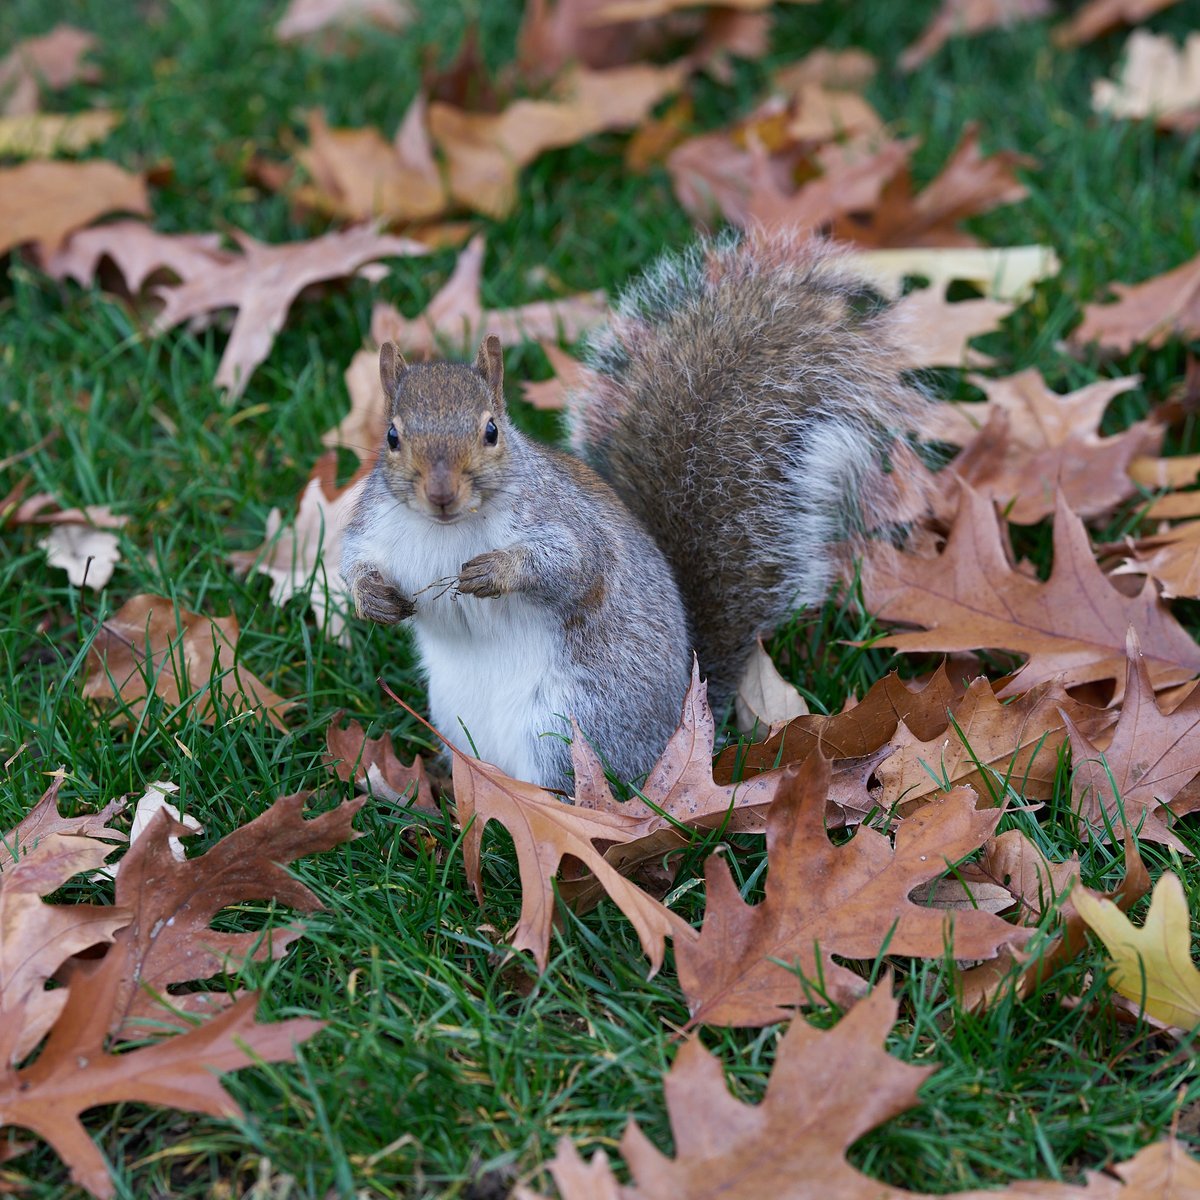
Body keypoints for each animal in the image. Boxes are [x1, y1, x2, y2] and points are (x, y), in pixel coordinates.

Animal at [340, 231, 927, 792]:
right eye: (391, 436)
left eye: (491, 431)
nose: (440, 494)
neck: (447, 529)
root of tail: (681, 721)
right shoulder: (370, 524)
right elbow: (350, 562)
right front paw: (373, 598)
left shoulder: (565, 519)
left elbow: (574, 565)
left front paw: (497, 571)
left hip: (569, 725)